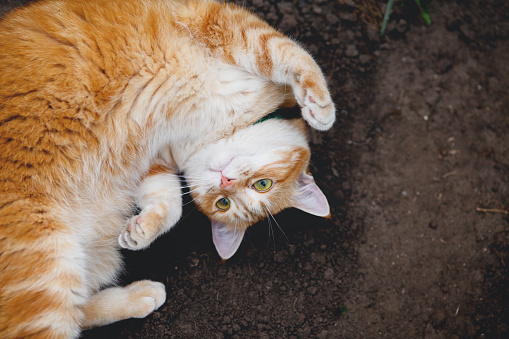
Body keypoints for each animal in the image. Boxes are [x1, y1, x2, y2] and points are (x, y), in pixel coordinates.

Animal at [0, 0, 336, 338]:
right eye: (262, 184)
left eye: (223, 203)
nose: (225, 182)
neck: (220, 128)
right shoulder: (215, 21)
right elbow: (286, 52)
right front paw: (320, 108)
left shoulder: (156, 159)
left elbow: (170, 204)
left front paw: (142, 231)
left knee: (77, 313)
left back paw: (140, 296)